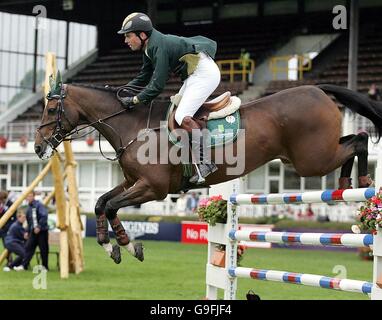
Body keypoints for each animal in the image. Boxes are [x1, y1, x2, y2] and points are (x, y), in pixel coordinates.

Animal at [34, 77, 380, 262]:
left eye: (51, 109)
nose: (38, 147)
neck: (133, 126)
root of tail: (317, 89)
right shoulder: (133, 182)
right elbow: (101, 204)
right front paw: (115, 246)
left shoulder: (152, 188)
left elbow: (110, 206)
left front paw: (125, 245)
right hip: (307, 156)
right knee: (352, 142)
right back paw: (346, 183)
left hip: (311, 159)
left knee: (359, 140)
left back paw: (360, 180)